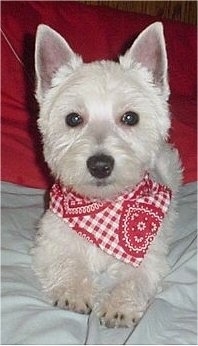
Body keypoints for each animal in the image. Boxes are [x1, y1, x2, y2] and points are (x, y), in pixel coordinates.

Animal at [31, 23, 182, 328]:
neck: (103, 208)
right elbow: (67, 261)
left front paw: (118, 306)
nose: (100, 164)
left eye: (130, 118)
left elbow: (133, 280)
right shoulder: (51, 241)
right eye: (73, 119)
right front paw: (74, 291)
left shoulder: (148, 257)